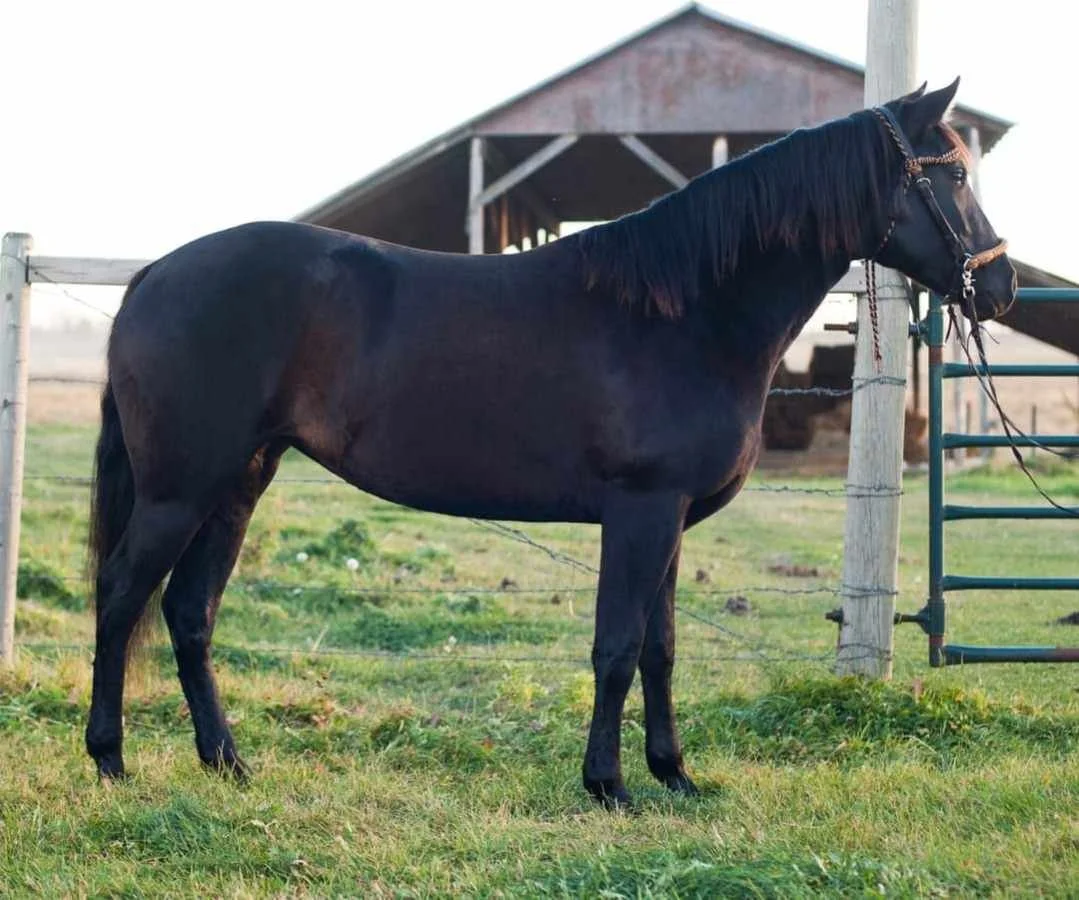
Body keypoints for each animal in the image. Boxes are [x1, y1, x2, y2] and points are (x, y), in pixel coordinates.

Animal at [85, 79, 1015, 807]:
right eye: (951, 177)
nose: (1001, 284)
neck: (685, 315)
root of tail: (154, 274)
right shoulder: (639, 512)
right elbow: (615, 648)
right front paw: (608, 785)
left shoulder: (670, 521)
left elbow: (660, 650)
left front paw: (674, 775)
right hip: (179, 491)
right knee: (123, 595)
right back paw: (111, 759)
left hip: (238, 483)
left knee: (189, 611)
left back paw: (228, 762)